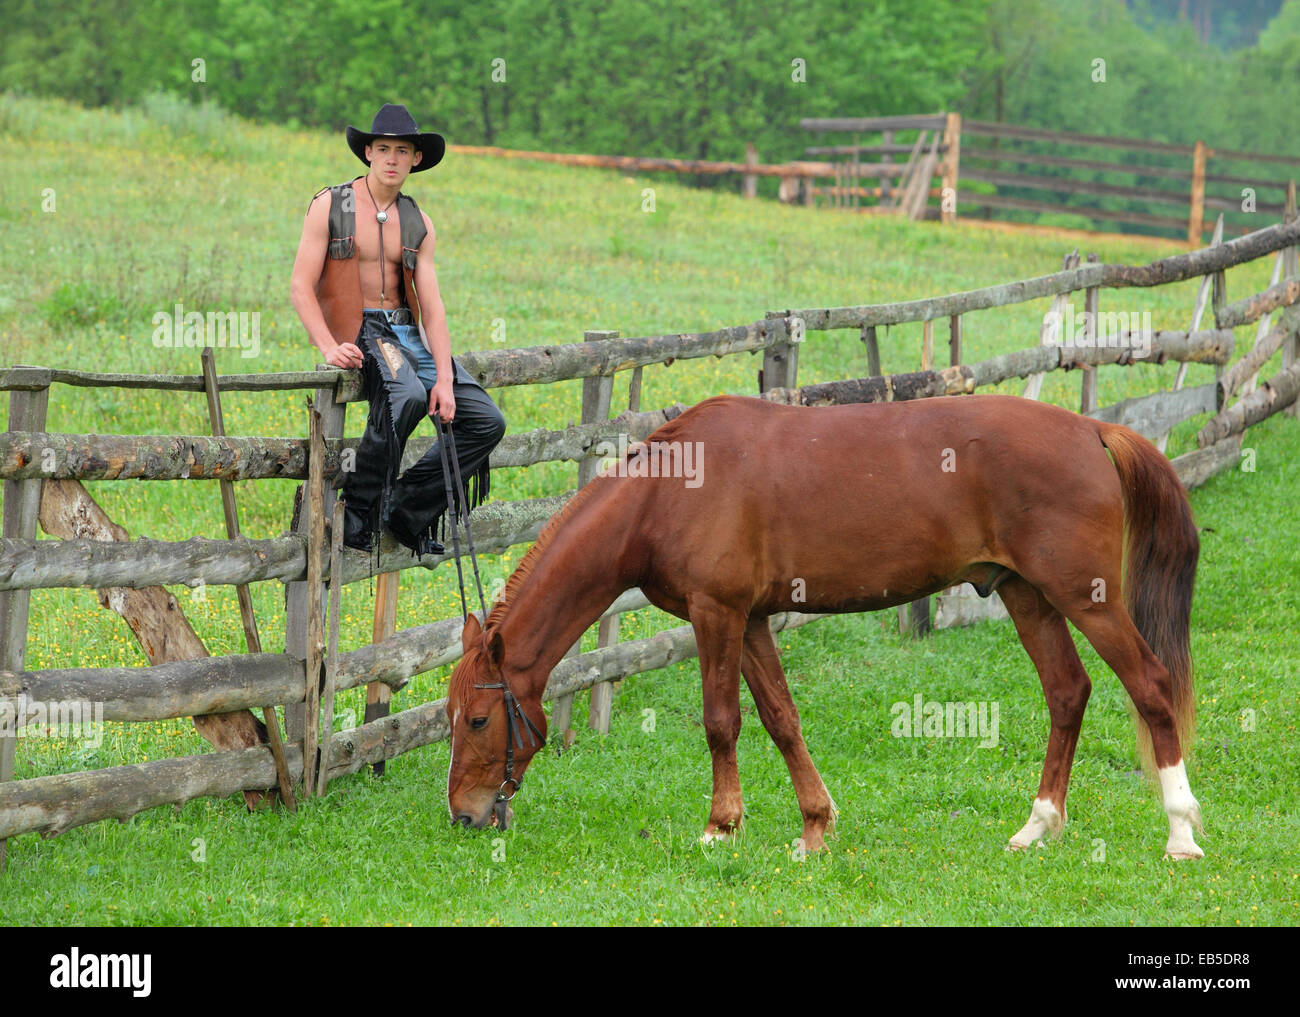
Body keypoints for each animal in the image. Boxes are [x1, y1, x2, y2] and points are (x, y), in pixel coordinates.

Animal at [445, 393, 1205, 859]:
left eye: (478, 719)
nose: (464, 815)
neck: (666, 493)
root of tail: (1094, 430)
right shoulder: (750, 620)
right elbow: (781, 718)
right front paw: (815, 829)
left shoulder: (717, 614)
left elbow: (721, 721)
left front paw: (720, 827)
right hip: (1028, 595)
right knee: (1067, 693)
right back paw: (1037, 825)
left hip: (1087, 599)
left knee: (1150, 686)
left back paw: (1180, 833)